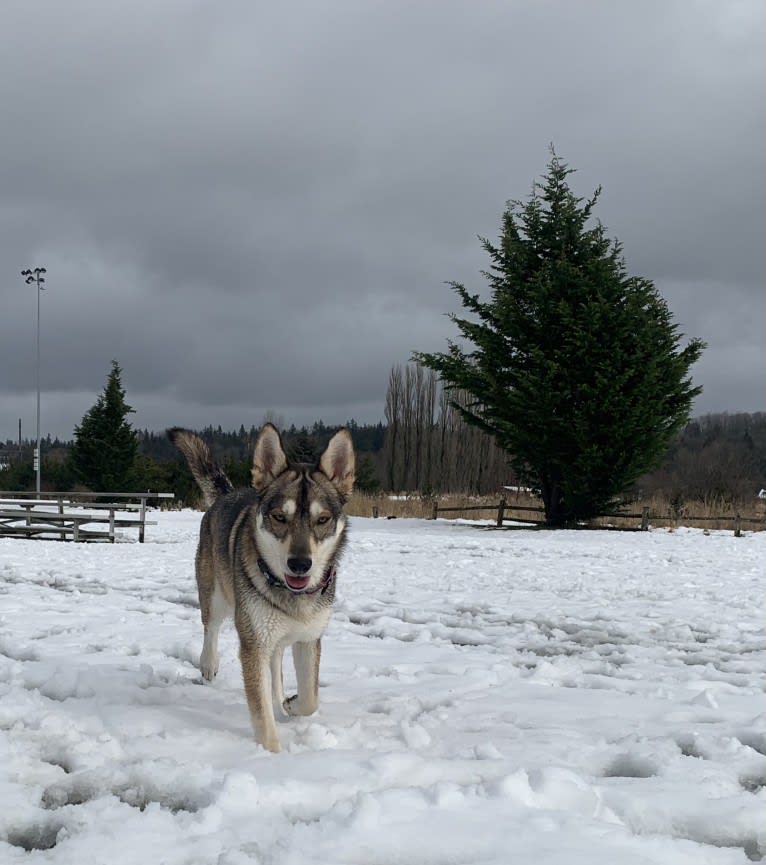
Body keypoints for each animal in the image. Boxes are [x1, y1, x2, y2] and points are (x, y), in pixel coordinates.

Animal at [168, 426, 354, 748]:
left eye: (322, 519)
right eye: (280, 517)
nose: (300, 564)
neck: (290, 594)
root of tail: (228, 493)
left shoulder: (309, 639)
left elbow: (310, 698)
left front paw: (291, 703)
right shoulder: (253, 645)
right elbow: (263, 718)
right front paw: (270, 754)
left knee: (276, 663)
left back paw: (281, 700)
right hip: (216, 598)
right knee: (210, 628)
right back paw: (208, 664)